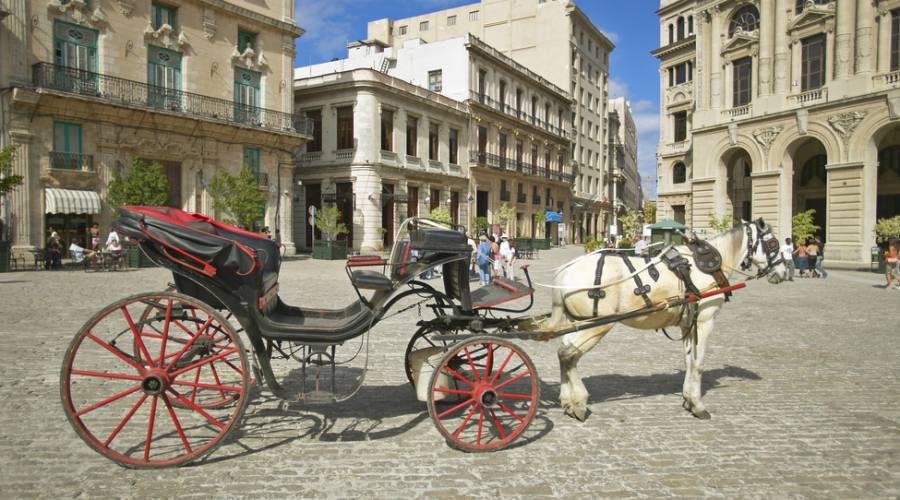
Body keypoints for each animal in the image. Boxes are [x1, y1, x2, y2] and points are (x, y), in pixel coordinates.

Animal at [540, 221, 788, 420]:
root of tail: (565, 270)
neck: (708, 266)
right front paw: (698, 405)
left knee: (565, 355)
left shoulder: (688, 323)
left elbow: (689, 361)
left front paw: (688, 399)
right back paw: (579, 403)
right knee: (568, 355)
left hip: (578, 322)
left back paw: (567, 400)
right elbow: (699, 363)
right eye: (773, 244)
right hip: (598, 325)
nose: (786, 272)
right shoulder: (704, 321)